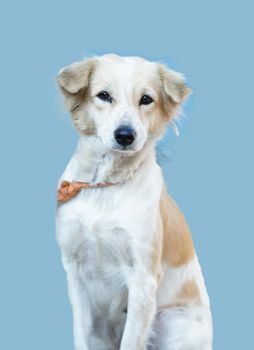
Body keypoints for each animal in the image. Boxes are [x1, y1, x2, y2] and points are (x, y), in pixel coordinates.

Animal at [55, 53, 212, 348]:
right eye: (104, 95)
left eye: (146, 99)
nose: (125, 135)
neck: (104, 188)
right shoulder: (74, 273)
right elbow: (80, 334)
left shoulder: (143, 278)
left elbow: (131, 340)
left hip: (171, 322)